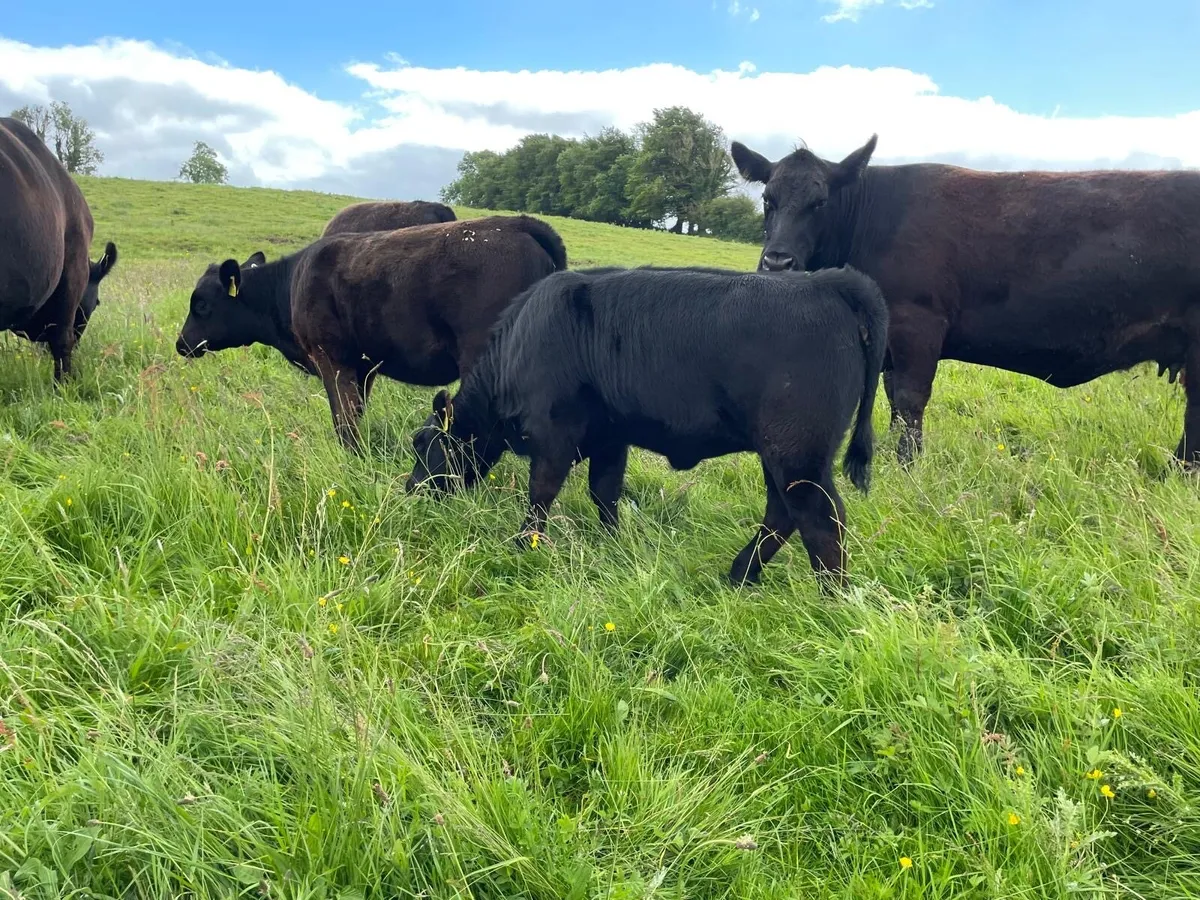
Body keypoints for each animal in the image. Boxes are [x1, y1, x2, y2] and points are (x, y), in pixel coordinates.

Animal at [176, 215, 567, 451]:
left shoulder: (331, 360)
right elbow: (356, 413)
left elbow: (343, 420)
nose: (181, 344)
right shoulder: (363, 366)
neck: (289, 287)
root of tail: (517, 223)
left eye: (202, 305)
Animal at [405, 264, 888, 588]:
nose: (410, 491)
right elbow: (605, 492)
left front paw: (525, 546)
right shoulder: (610, 438)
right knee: (783, 515)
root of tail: (824, 281)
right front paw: (612, 543)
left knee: (820, 521)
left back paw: (831, 599)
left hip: (796, 454)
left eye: (423, 443)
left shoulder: (554, 437)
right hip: (783, 455)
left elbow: (541, 494)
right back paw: (740, 576)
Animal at [731, 134, 1200, 466]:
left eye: (820, 202)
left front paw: (908, 467)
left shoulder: (917, 323)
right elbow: (893, 398)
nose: (777, 261)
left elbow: (910, 398)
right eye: (768, 199)